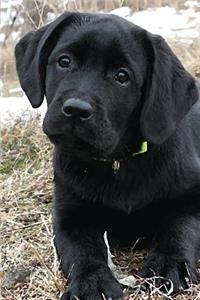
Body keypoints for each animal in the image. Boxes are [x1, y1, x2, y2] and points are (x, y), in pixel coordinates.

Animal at [15, 11, 200, 300]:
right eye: (64, 61)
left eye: (122, 76)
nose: (76, 109)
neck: (118, 163)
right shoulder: (69, 215)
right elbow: (82, 250)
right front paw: (92, 283)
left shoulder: (191, 196)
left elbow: (180, 227)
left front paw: (167, 263)